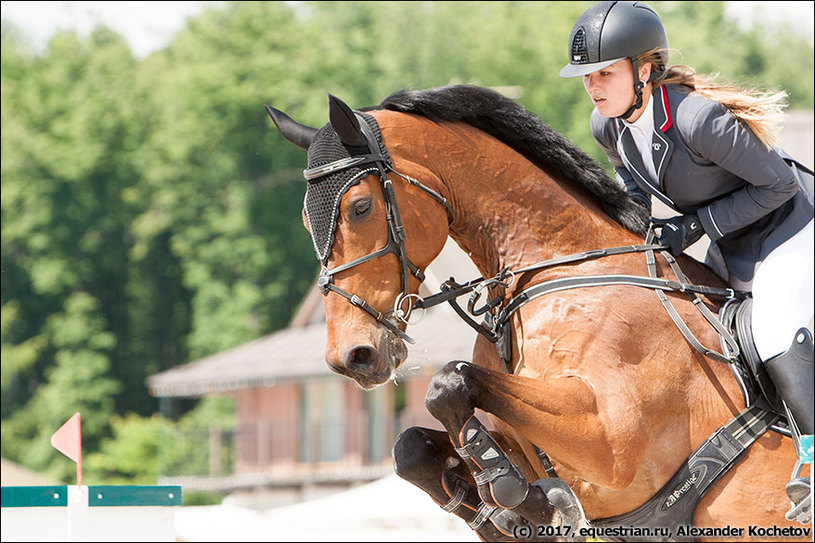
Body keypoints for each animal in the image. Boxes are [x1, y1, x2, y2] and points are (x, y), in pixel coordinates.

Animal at [270, 85, 808, 540]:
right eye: (305, 221)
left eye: (360, 207)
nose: (352, 357)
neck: (561, 267)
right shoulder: (517, 431)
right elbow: (411, 446)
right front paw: (506, 511)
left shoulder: (611, 439)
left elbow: (449, 382)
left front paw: (525, 500)